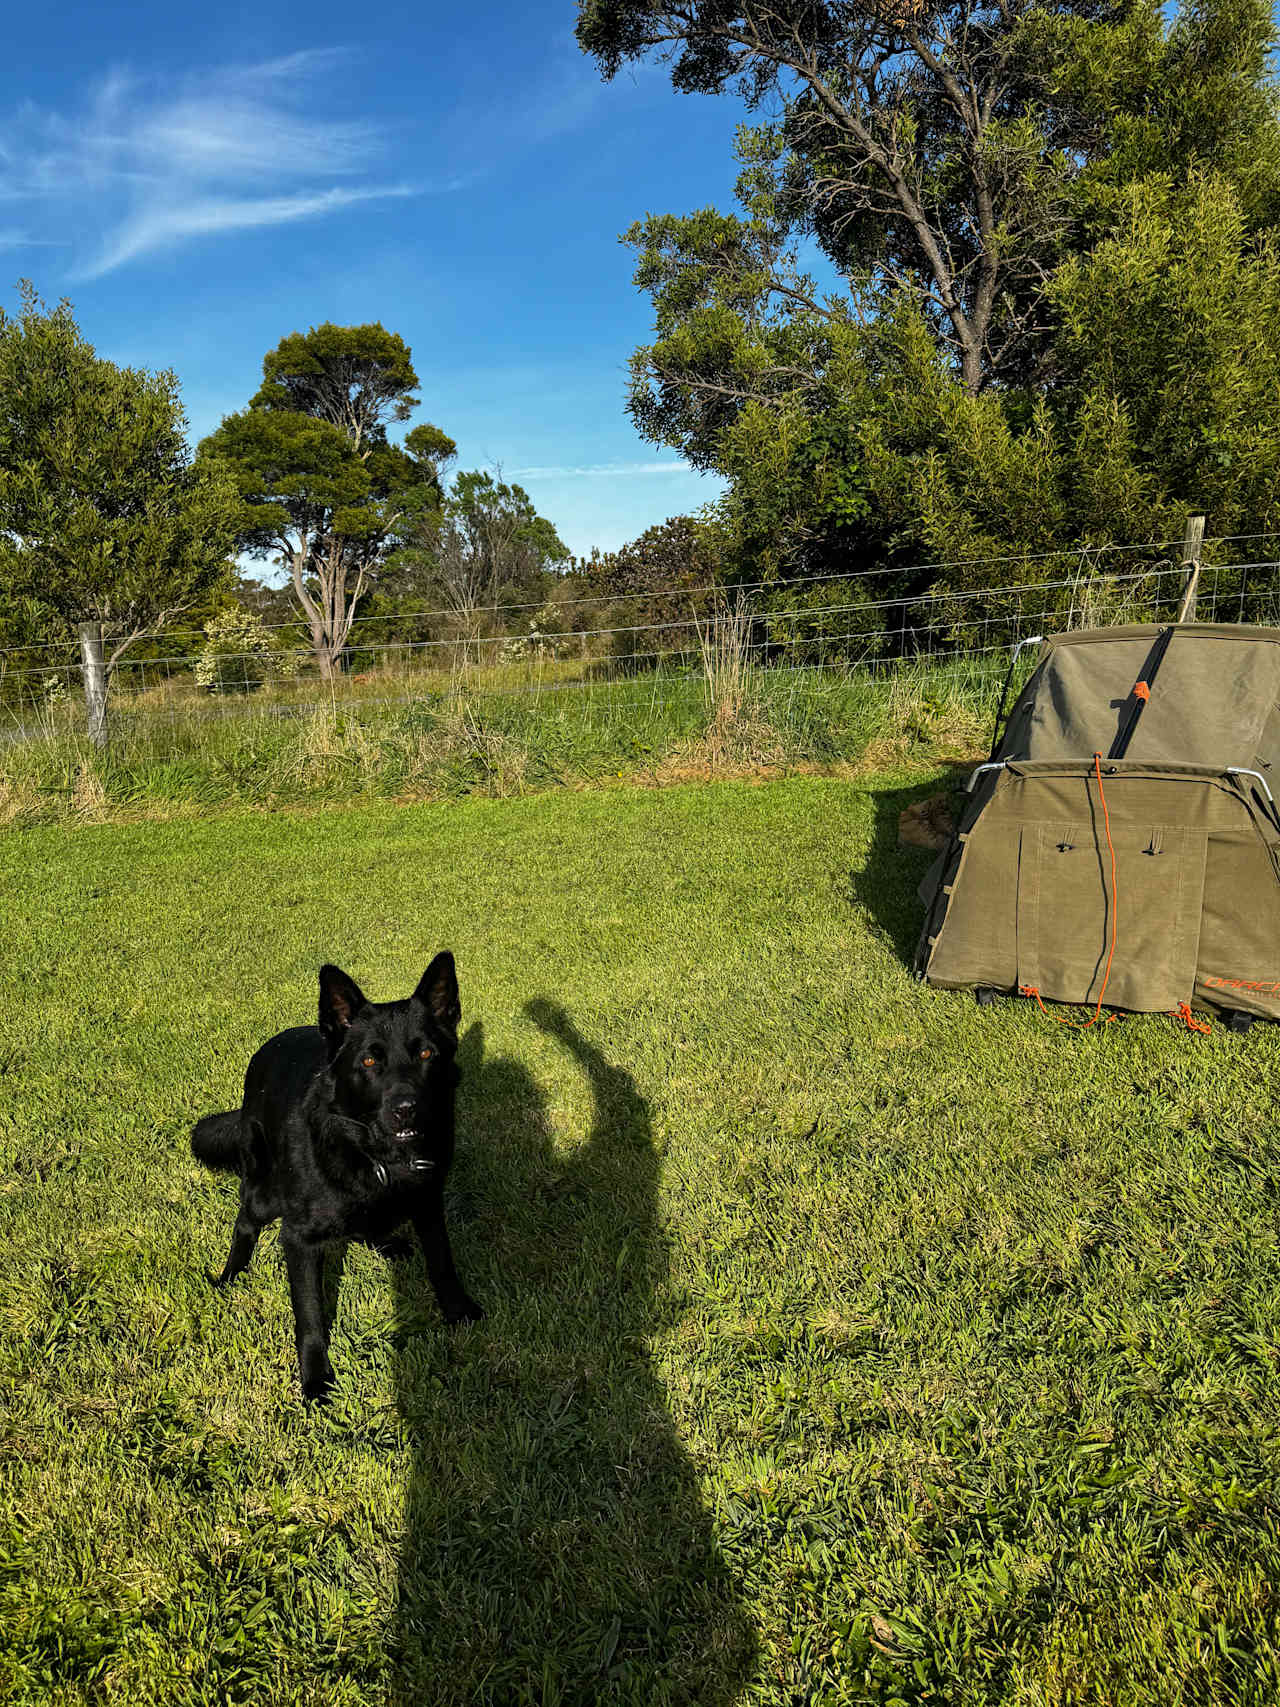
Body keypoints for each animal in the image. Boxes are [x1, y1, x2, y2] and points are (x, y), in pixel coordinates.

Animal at [192, 949, 484, 1399]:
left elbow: (443, 1264)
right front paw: (316, 1379)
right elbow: (310, 1316)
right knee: (245, 1220)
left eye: (426, 1055)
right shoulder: (299, 1241)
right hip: (265, 1193)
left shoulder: (428, 1206)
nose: (406, 1109)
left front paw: (457, 1310)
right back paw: (232, 1273)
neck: (374, 1157)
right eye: (369, 1060)